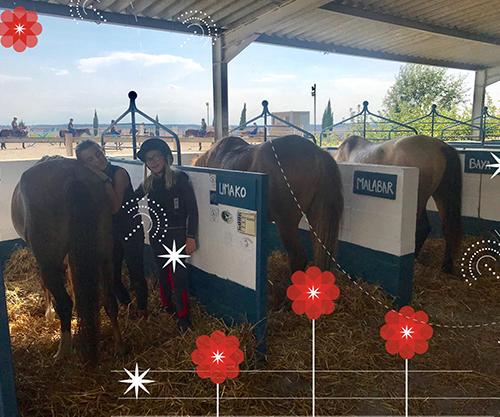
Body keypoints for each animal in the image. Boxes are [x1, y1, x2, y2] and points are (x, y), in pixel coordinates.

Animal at [11, 156, 126, 364]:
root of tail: (72, 175)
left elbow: (45, 285)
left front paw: (48, 314)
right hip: (105, 253)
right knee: (109, 298)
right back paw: (119, 346)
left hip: (49, 260)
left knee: (64, 303)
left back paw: (63, 351)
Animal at [334, 136, 462, 272]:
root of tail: (441, 146)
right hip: (440, 195)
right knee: (447, 227)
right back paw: (446, 265)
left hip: (420, 199)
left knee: (423, 227)